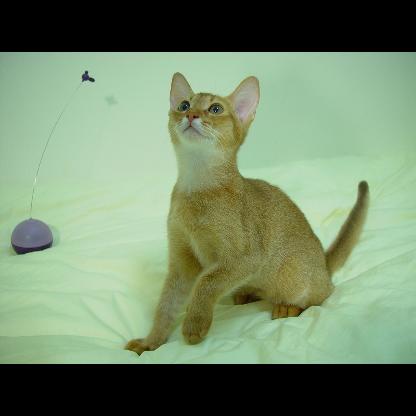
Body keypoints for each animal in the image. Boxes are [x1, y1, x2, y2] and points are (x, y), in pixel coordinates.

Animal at [125, 73, 369, 355]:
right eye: (184, 105)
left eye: (215, 109)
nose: (191, 115)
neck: (196, 187)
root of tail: (324, 265)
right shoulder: (182, 263)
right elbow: (166, 305)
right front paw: (150, 343)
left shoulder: (246, 258)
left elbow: (206, 282)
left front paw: (194, 323)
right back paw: (246, 294)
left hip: (294, 278)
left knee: (322, 295)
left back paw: (287, 307)